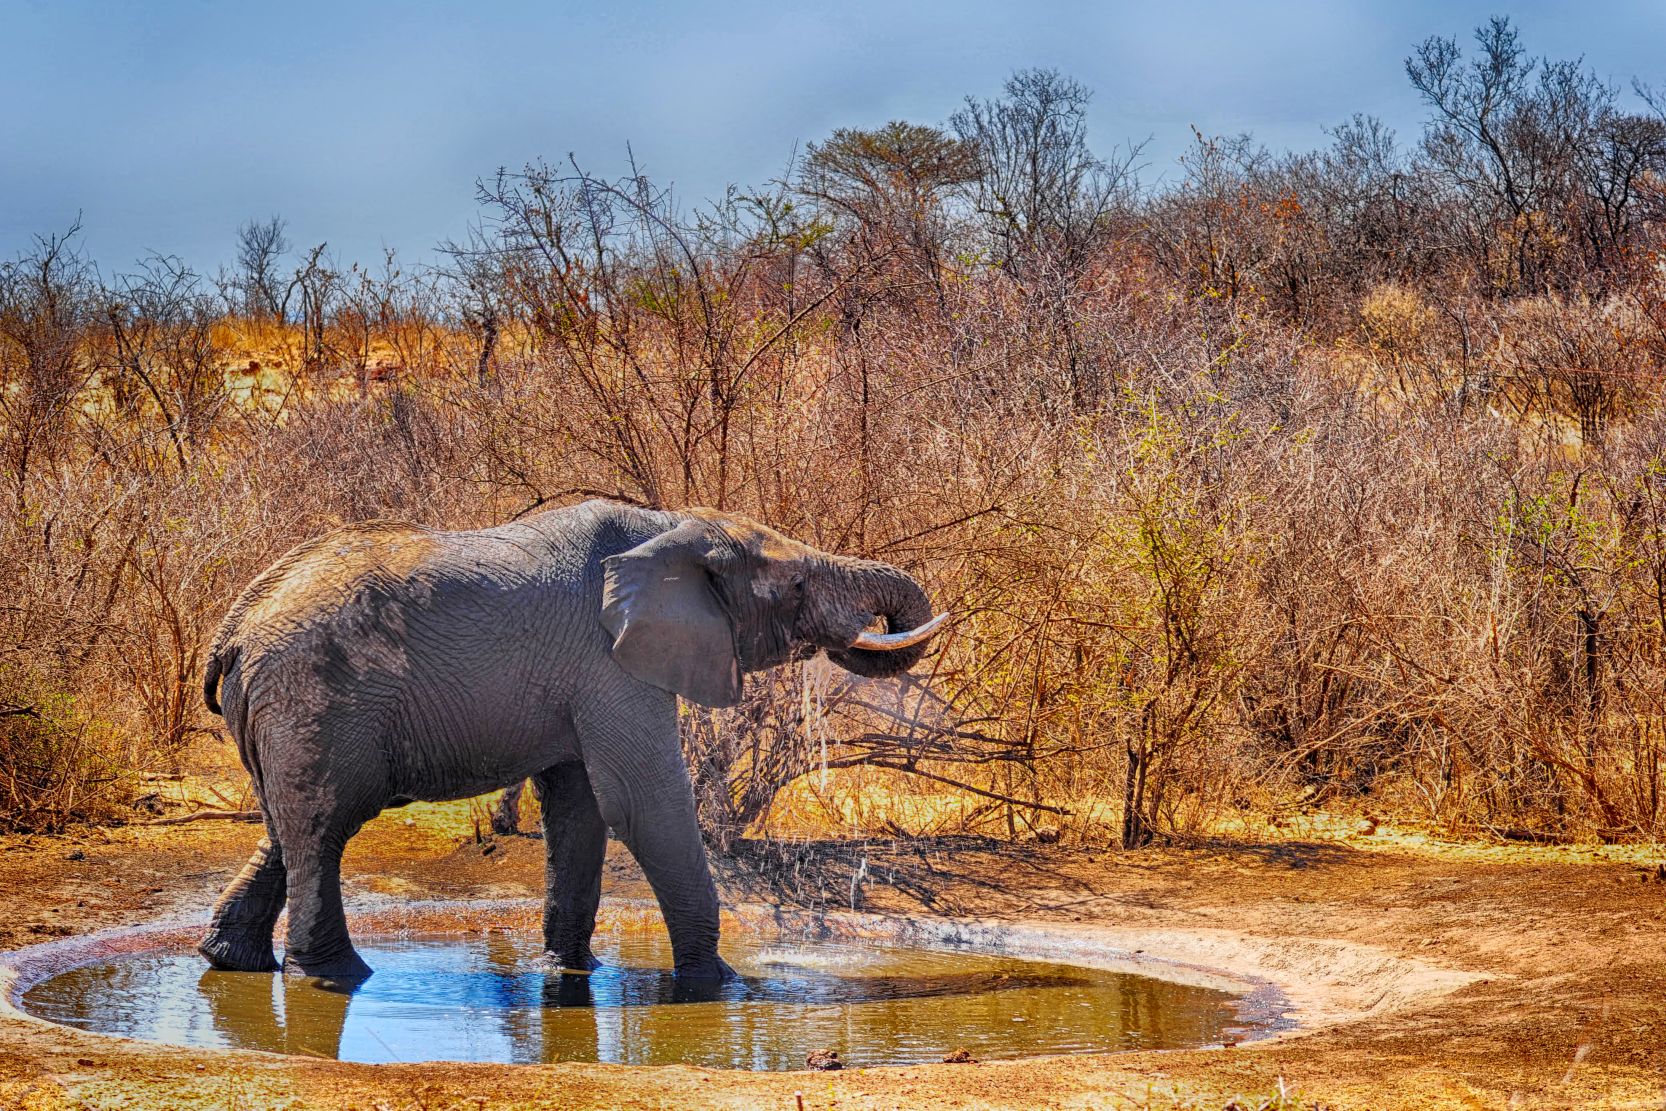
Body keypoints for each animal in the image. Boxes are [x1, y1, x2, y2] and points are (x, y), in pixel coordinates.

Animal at [197, 499, 944, 982]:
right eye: (794, 584)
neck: (671, 527)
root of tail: (234, 626)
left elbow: (580, 810)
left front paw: (570, 970)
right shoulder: (611, 661)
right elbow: (643, 803)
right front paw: (720, 983)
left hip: (285, 710)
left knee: (287, 827)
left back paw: (231, 960)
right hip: (315, 696)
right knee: (324, 827)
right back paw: (338, 976)